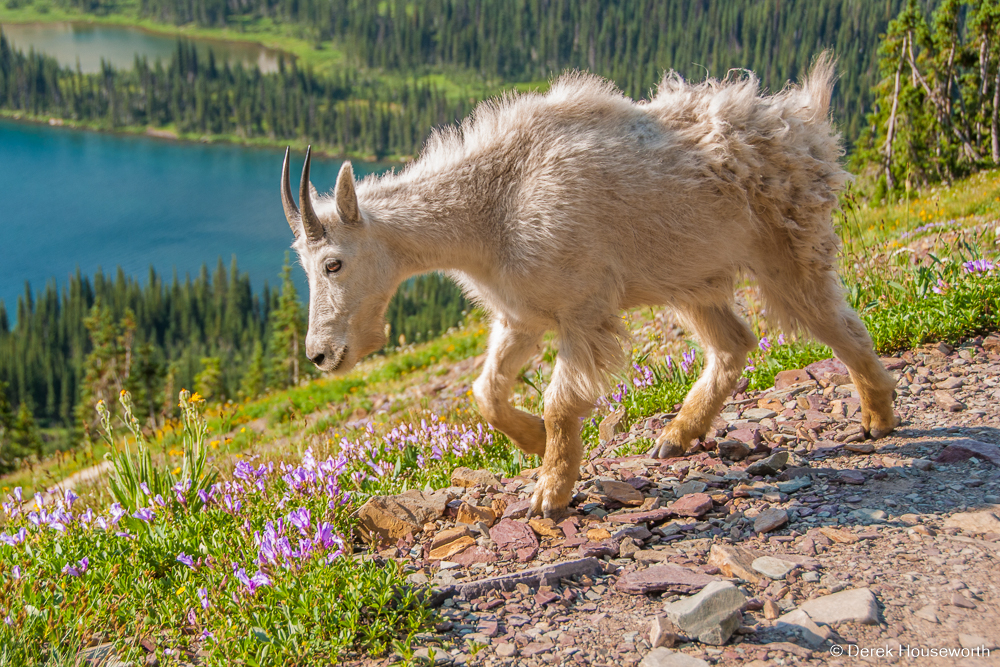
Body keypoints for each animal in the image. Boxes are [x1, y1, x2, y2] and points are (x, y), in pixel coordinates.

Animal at [280, 56, 900, 516]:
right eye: (304, 267)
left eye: (332, 264)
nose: (320, 355)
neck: (490, 208)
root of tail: (806, 123)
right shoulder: (522, 316)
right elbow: (487, 392)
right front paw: (533, 444)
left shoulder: (583, 312)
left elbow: (560, 403)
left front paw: (549, 493)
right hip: (692, 279)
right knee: (734, 343)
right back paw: (678, 434)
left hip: (786, 252)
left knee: (839, 325)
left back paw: (877, 418)